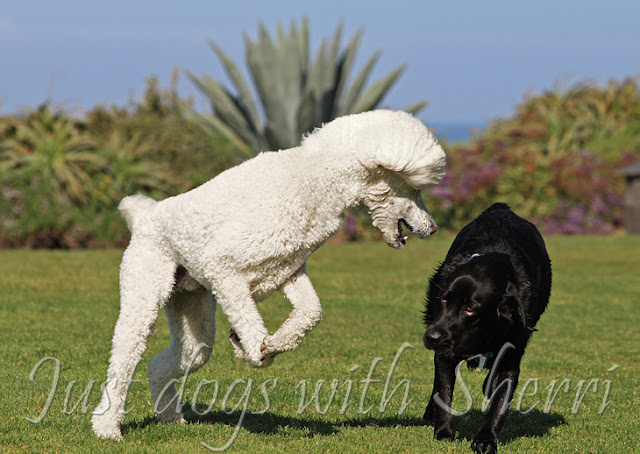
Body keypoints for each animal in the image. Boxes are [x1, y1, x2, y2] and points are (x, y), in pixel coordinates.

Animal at [91, 110, 446, 440]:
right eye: (414, 190)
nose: (433, 228)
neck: (315, 182)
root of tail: (144, 217)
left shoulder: (289, 271)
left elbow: (310, 313)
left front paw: (272, 343)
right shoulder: (224, 270)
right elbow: (250, 323)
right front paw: (252, 350)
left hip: (194, 318)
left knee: (164, 363)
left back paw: (169, 416)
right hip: (144, 294)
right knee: (123, 360)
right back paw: (107, 428)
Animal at [422, 203, 551, 453]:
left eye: (470, 308)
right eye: (444, 300)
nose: (431, 337)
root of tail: (500, 208)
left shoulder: (512, 353)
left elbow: (500, 401)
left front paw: (485, 438)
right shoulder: (445, 351)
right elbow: (444, 390)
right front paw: (443, 432)